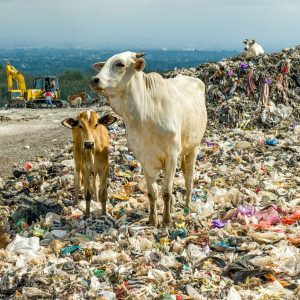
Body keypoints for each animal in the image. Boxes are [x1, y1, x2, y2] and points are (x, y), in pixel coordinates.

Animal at [90, 51, 207, 226]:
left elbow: (166, 191)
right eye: (104, 64)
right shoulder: (145, 158)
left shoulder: (172, 155)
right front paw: (153, 220)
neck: (145, 116)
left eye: (120, 64)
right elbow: (152, 193)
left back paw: (186, 207)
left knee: (188, 179)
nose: (95, 80)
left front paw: (166, 221)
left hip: (194, 147)